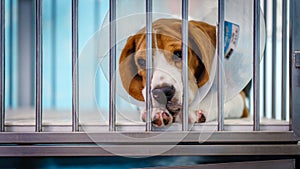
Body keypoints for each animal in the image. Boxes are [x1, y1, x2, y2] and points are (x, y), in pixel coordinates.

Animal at [118, 18, 247, 127]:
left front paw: (195, 108)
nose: (161, 92)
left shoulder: (239, 98)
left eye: (179, 53)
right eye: (141, 61)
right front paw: (156, 110)